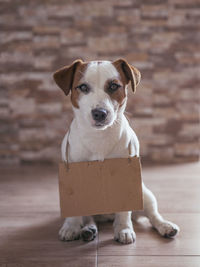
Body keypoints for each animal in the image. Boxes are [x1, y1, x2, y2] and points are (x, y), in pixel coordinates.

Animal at [53, 58, 180, 245]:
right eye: (82, 87)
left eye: (114, 86)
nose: (99, 113)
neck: (99, 137)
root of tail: (106, 216)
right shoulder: (72, 174)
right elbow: (74, 210)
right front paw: (71, 227)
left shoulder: (126, 175)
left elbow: (124, 211)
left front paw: (123, 229)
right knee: (89, 217)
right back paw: (88, 229)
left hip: (145, 194)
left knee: (153, 215)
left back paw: (165, 226)